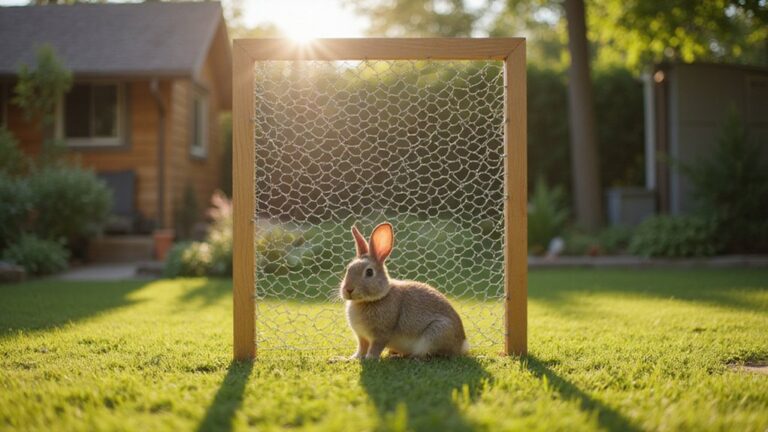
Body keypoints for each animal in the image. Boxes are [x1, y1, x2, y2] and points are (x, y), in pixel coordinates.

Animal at [339, 222, 469, 359]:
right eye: (348, 268)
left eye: (369, 272)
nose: (348, 289)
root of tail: (462, 344)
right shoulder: (362, 337)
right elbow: (361, 348)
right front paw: (353, 358)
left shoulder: (381, 334)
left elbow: (375, 347)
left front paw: (370, 358)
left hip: (436, 332)